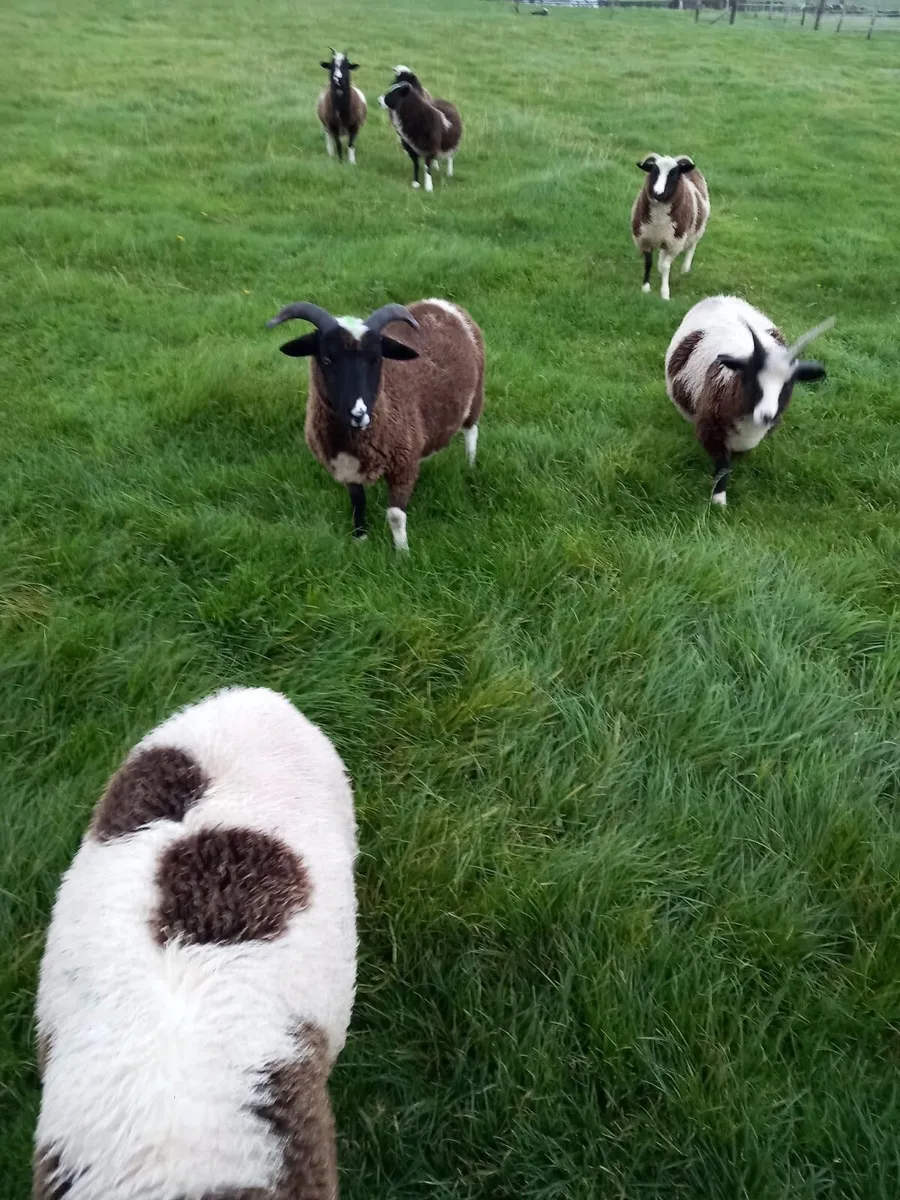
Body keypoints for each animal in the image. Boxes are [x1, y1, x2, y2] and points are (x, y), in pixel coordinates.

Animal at [267, 299, 485, 551]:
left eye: (376, 359)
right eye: (327, 360)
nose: (358, 414)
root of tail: (441, 303)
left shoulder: (402, 465)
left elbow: (395, 515)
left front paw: (402, 552)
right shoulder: (348, 469)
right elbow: (358, 503)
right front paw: (360, 539)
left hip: (476, 397)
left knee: (471, 431)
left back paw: (470, 464)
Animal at [631, 153, 710, 301]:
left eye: (674, 173)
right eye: (654, 170)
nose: (658, 193)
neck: (658, 222)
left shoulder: (675, 243)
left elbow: (666, 266)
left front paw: (665, 293)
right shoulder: (645, 239)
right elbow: (648, 263)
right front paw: (646, 288)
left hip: (696, 230)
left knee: (691, 247)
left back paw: (685, 269)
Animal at [665, 295, 833, 505]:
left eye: (789, 384)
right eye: (751, 378)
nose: (767, 416)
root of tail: (722, 297)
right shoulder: (711, 430)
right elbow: (722, 467)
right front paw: (718, 501)